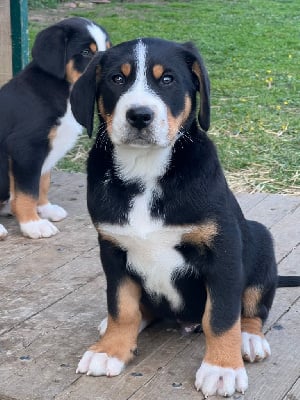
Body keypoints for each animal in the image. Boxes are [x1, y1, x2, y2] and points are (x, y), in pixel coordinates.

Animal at [0, 17, 111, 239]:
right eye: (86, 52)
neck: (65, 91)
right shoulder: (25, 147)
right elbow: (27, 191)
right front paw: (33, 224)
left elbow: (42, 182)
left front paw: (45, 209)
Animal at [71, 37, 278, 396]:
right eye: (117, 79)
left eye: (167, 79)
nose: (139, 116)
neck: (145, 171)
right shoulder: (112, 249)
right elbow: (121, 307)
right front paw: (110, 350)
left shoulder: (223, 251)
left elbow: (222, 316)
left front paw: (221, 368)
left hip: (261, 240)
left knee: (252, 308)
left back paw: (249, 339)